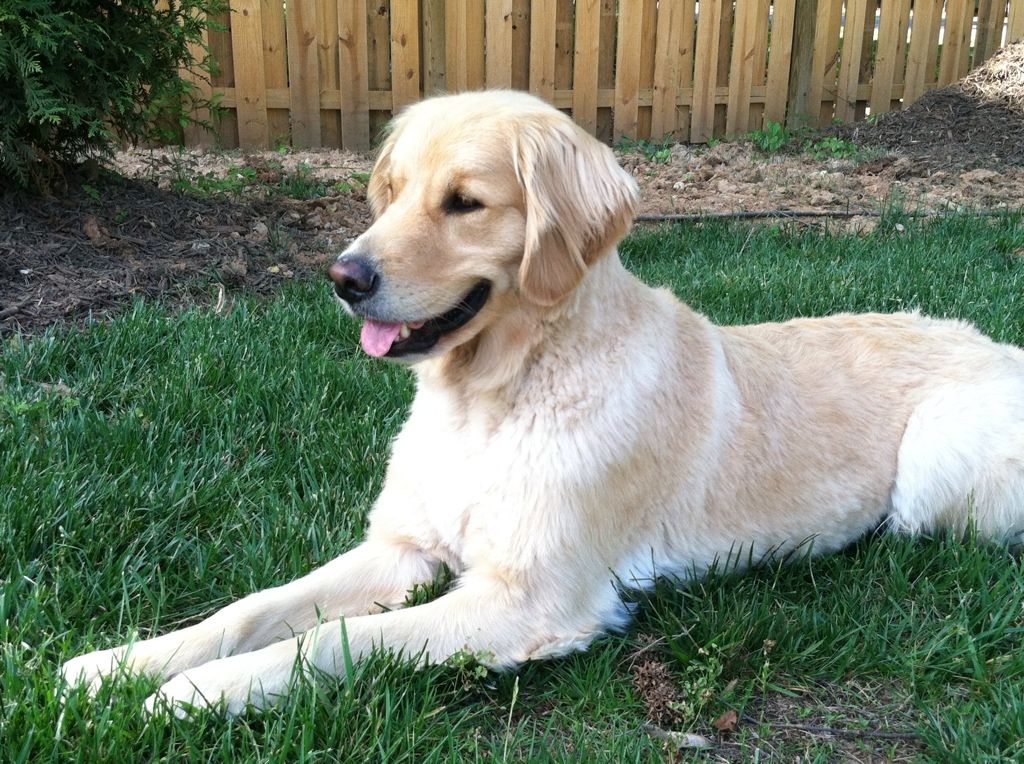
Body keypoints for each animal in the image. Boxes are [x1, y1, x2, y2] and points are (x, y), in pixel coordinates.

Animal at [61, 90, 1024, 712]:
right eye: (391, 192)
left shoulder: (530, 599)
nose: (343, 277)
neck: (492, 396)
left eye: (464, 203)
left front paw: (199, 691)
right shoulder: (403, 548)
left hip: (932, 468)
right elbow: (250, 609)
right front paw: (122, 664)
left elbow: (332, 641)